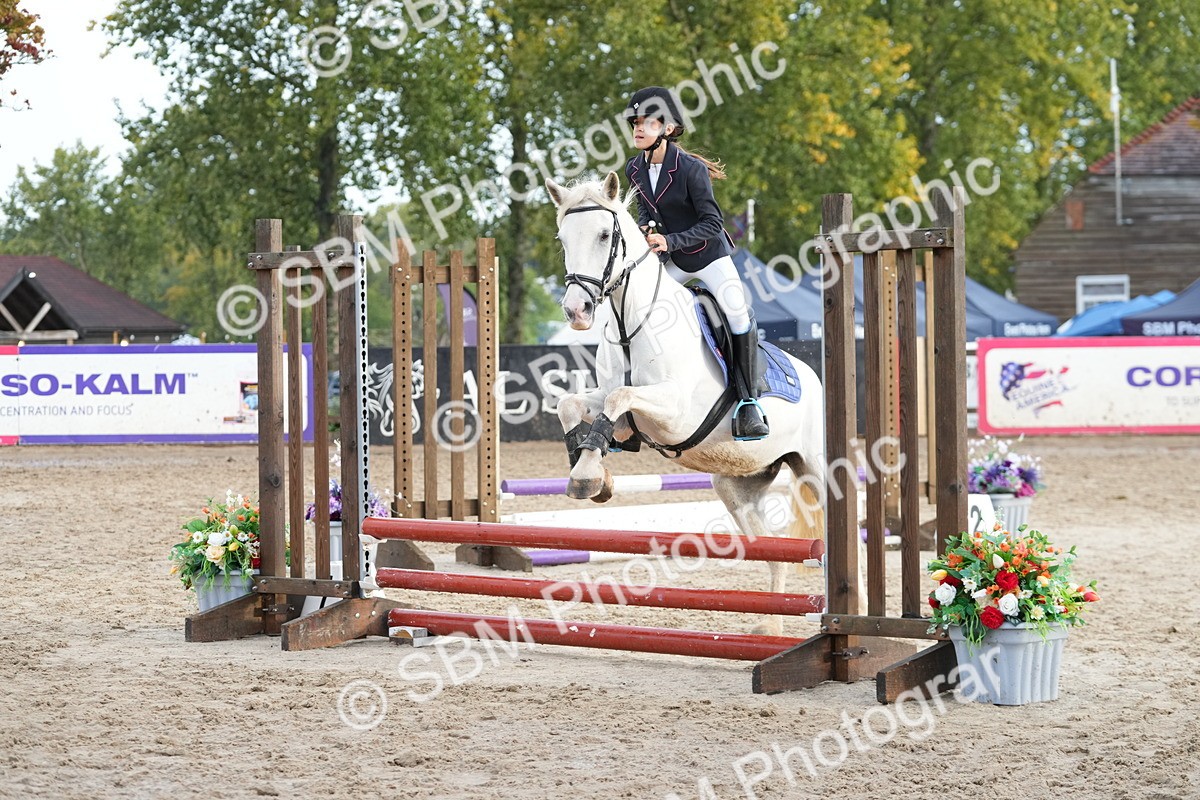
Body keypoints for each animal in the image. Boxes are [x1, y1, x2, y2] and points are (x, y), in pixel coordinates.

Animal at [545, 172, 830, 636]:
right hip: (737, 485)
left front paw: (588, 474)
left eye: (605, 235)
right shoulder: (610, 401)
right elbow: (572, 404)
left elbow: (620, 397)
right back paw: (771, 628)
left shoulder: (675, 411)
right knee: (773, 549)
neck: (629, 321)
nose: (577, 311)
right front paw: (592, 472)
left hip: (816, 468)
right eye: (563, 238)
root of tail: (811, 375)